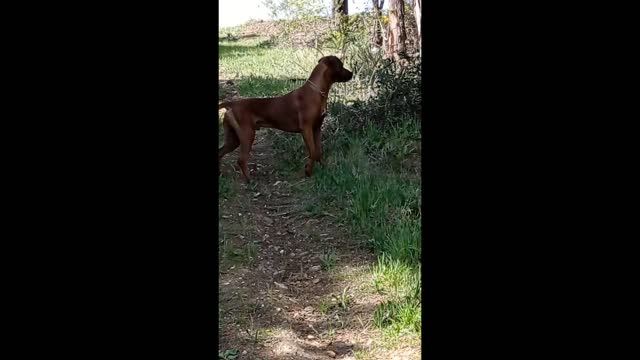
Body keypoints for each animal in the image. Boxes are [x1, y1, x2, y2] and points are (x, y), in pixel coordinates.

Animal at [218, 55, 352, 183]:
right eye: (341, 65)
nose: (351, 73)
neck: (317, 92)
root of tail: (232, 104)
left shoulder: (317, 128)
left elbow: (318, 151)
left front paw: (324, 169)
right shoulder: (306, 129)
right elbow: (313, 152)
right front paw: (308, 171)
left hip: (234, 139)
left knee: (220, 152)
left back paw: (221, 174)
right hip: (247, 135)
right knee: (241, 160)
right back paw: (249, 180)